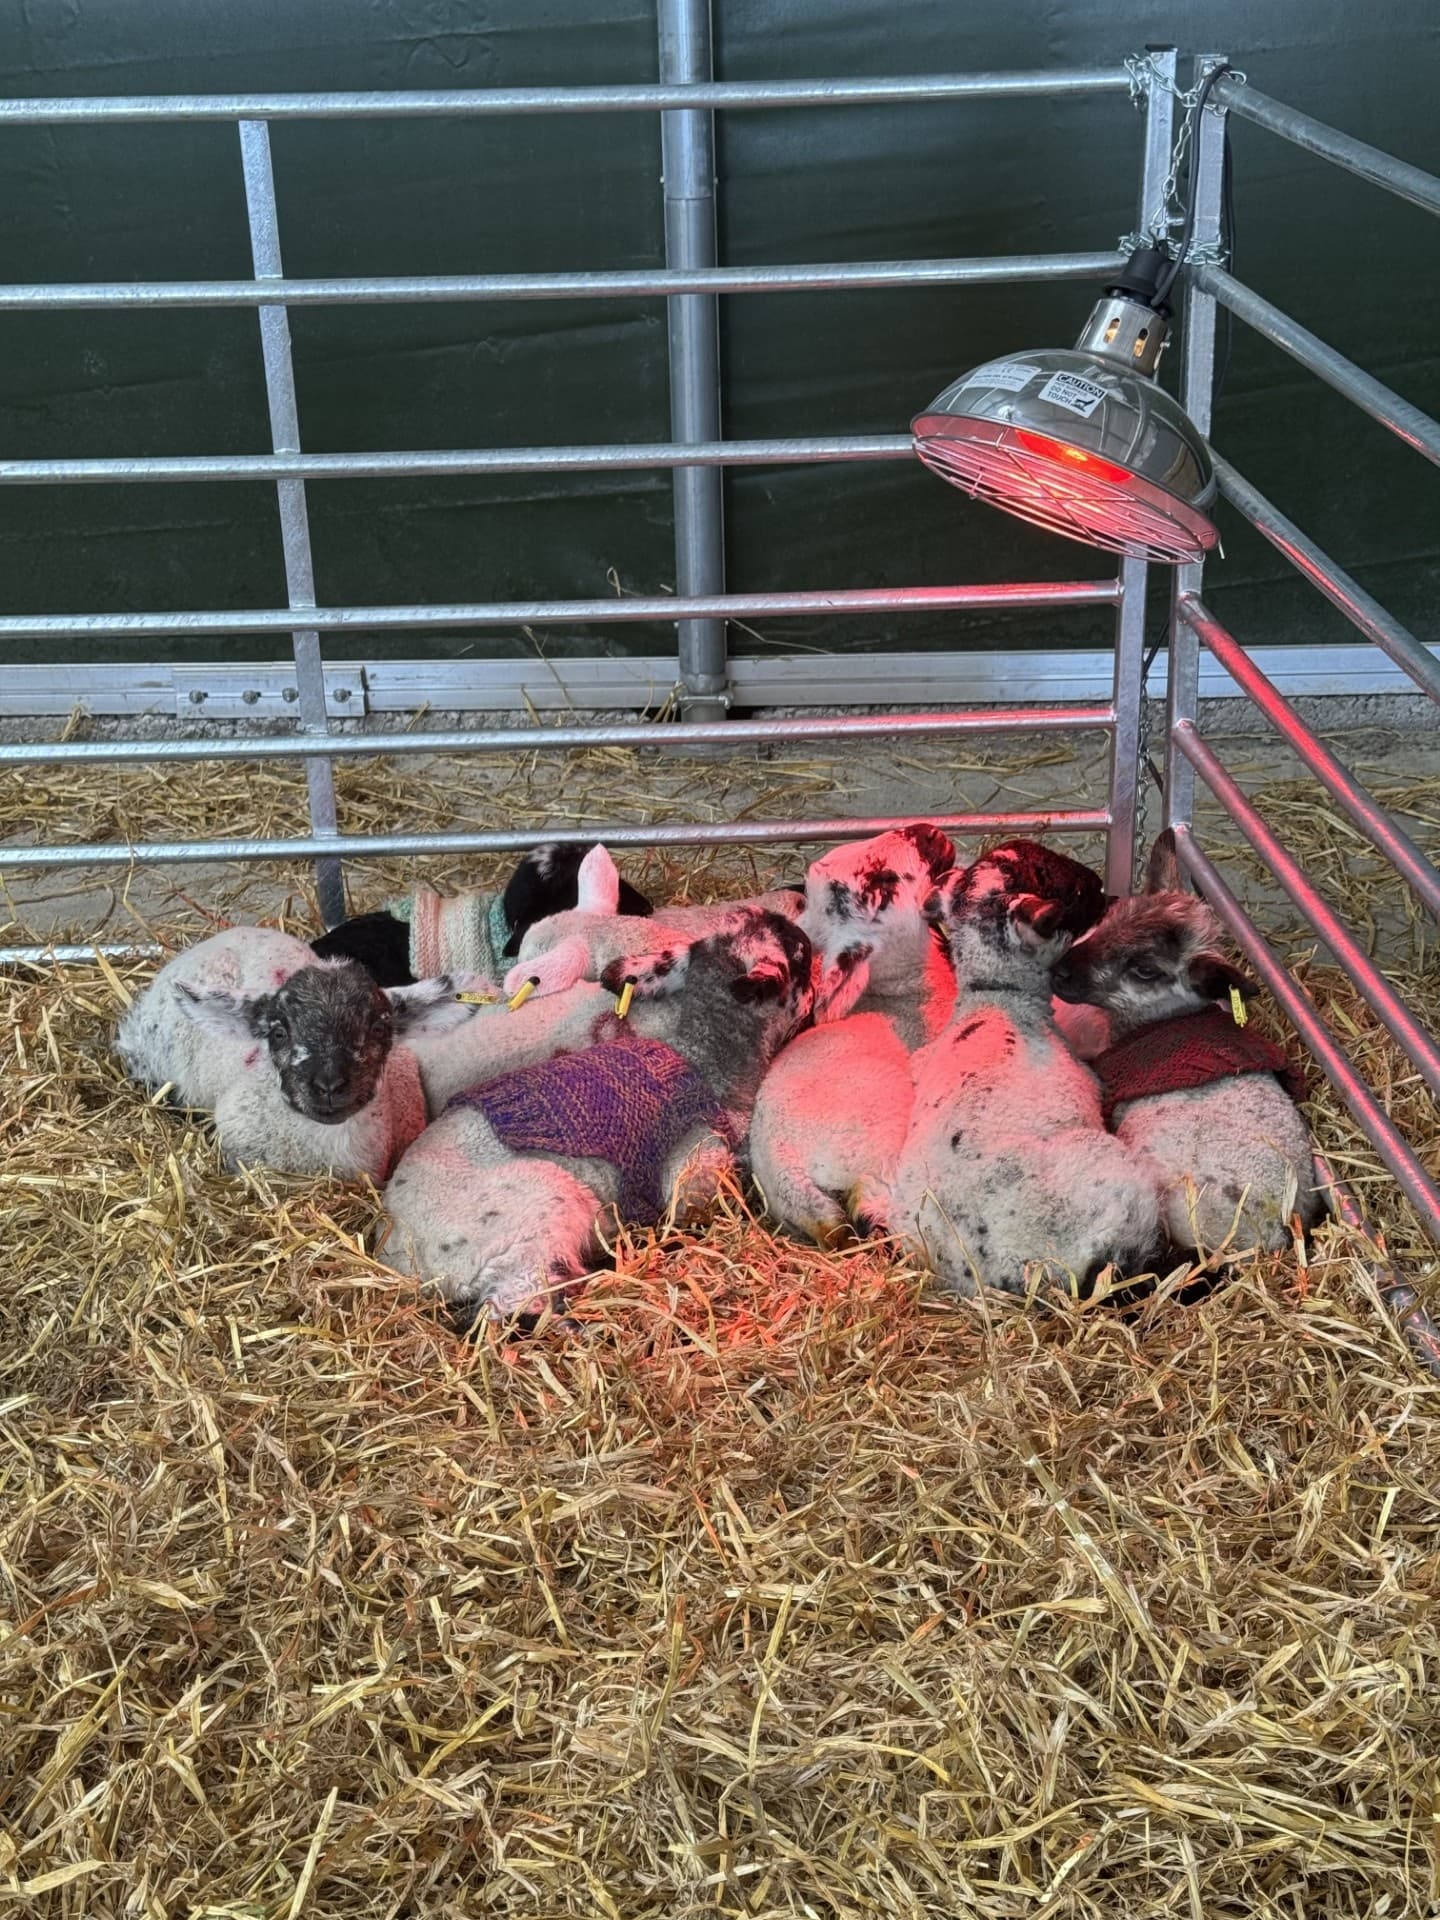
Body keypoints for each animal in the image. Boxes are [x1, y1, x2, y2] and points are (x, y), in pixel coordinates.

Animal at [385, 908, 813, 1329]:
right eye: (799, 955)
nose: (808, 940)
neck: (702, 1049)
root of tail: (399, 1252)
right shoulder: (696, 1167)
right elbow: (694, 1210)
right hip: (534, 1227)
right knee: (515, 1312)